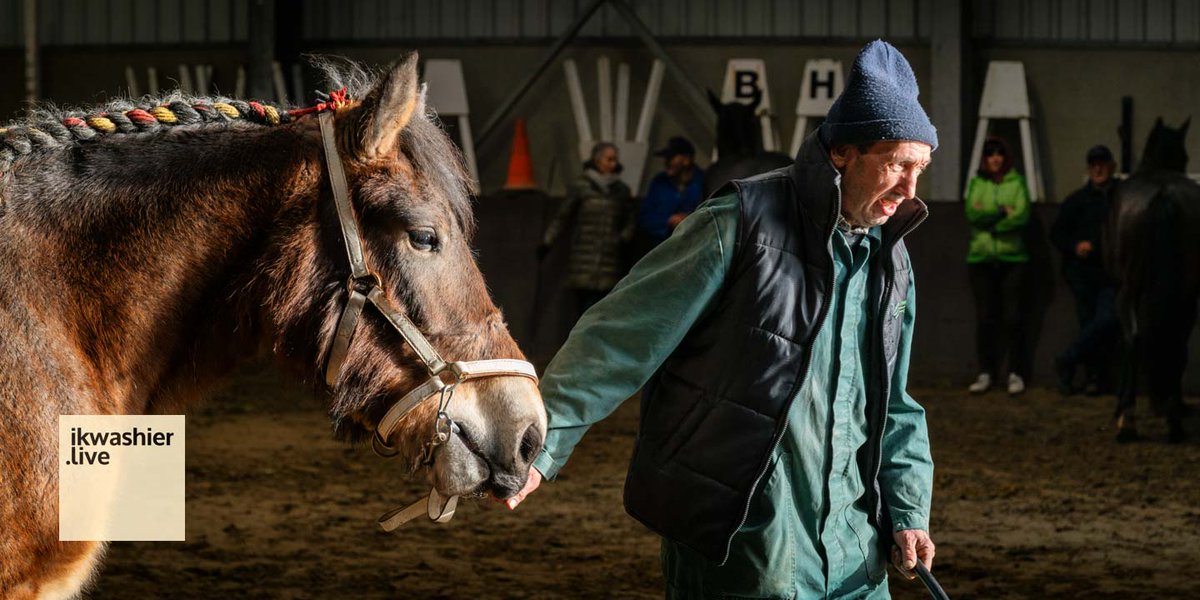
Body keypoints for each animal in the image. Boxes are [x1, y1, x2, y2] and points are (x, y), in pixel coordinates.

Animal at [1106, 117, 1200, 443]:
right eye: (1184, 156)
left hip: (1130, 290)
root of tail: (1163, 195)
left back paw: (1130, 421)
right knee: (1175, 339)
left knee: (1136, 338)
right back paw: (1172, 418)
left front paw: (1121, 406)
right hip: (1185, 294)